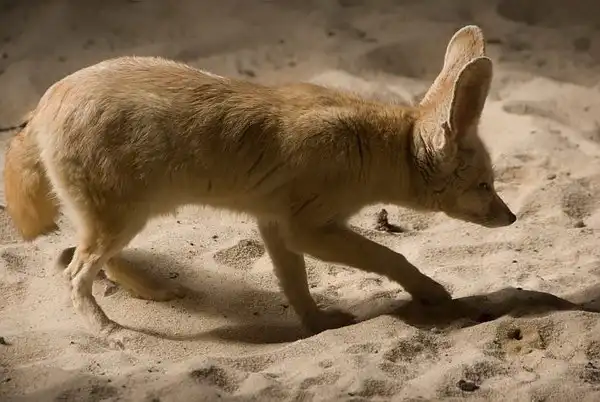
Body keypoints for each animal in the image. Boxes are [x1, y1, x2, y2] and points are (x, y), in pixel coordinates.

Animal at [2, 25, 516, 346]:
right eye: (485, 185)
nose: (512, 218)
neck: (372, 144)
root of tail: (45, 102)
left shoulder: (275, 225)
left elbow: (296, 285)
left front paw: (317, 324)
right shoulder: (308, 229)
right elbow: (391, 256)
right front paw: (429, 292)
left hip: (121, 220)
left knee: (87, 258)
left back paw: (153, 292)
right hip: (121, 219)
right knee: (76, 273)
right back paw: (108, 330)